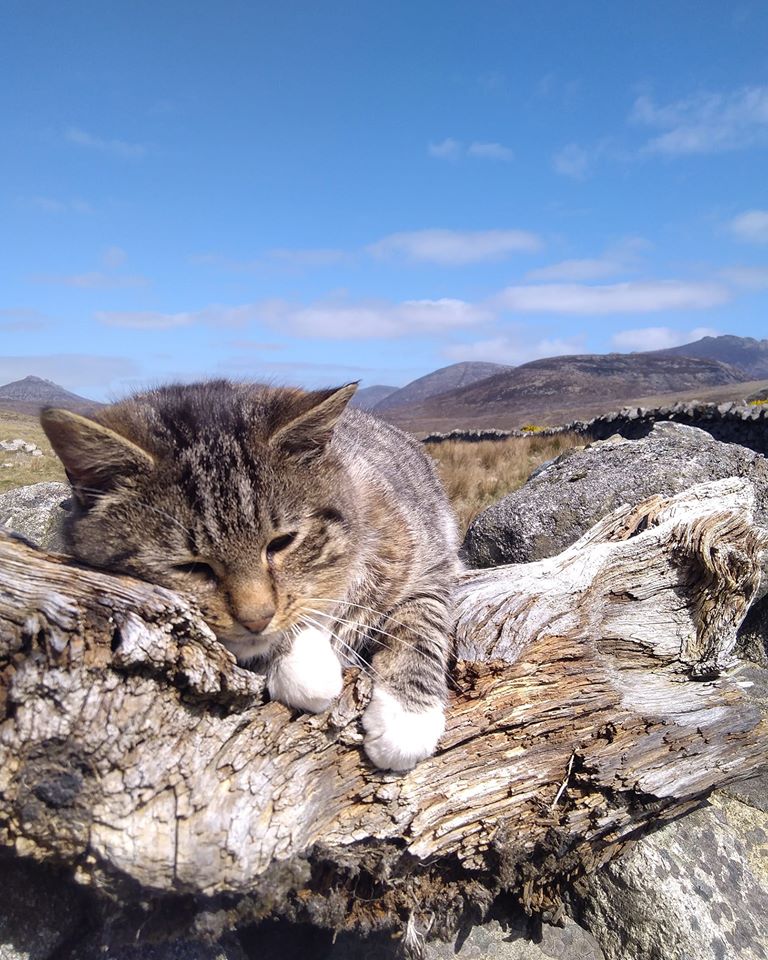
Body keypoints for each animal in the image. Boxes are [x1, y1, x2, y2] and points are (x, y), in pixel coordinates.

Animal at [39, 378, 460, 768]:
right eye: (190, 566)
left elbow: (422, 624)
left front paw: (408, 717)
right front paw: (303, 665)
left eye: (281, 542)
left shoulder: (430, 562)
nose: (256, 619)